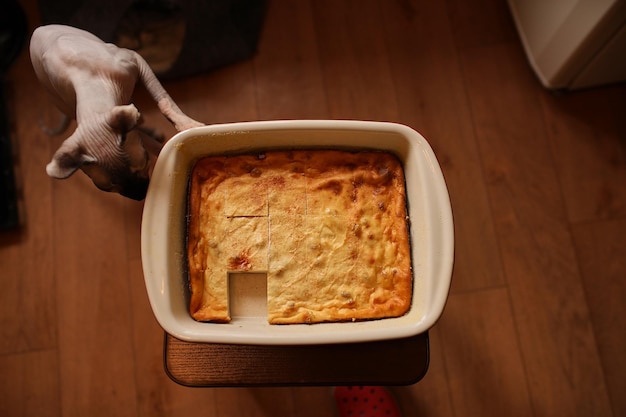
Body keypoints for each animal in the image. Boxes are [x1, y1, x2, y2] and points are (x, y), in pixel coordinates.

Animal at [29, 24, 202, 200]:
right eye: (107, 188)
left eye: (144, 164)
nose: (140, 195)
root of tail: (38, 30)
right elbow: (151, 143)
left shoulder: (136, 60)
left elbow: (163, 101)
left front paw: (188, 126)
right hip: (61, 101)